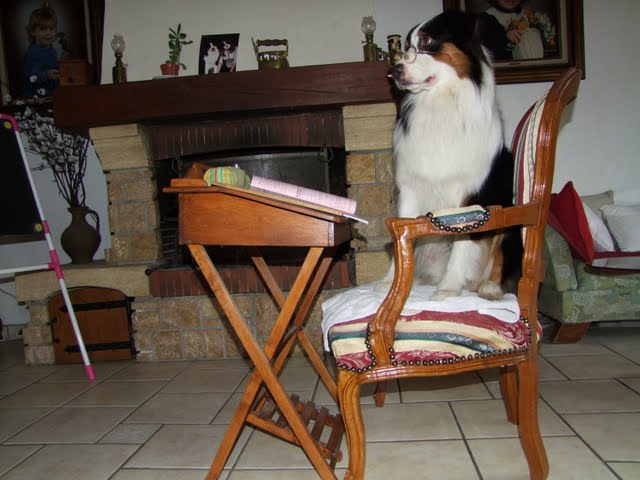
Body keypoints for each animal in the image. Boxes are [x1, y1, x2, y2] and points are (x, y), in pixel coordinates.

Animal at [382, 11, 524, 300]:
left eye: (427, 41)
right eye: (406, 47)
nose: (393, 71)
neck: (440, 104)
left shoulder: (469, 197)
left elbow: (462, 244)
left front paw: (448, 288)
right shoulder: (410, 187)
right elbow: (402, 240)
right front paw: (391, 282)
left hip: (509, 225)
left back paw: (489, 286)